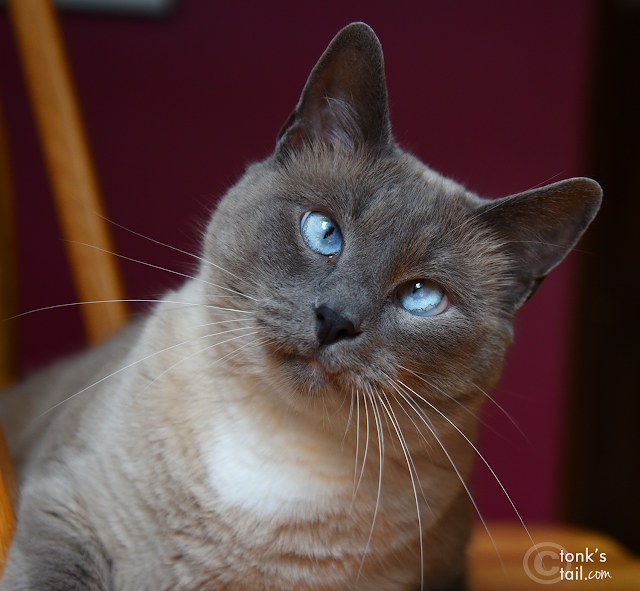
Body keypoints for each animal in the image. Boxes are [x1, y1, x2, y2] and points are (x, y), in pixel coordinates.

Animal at [0, 20, 600, 591]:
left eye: (421, 297)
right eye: (324, 233)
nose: (334, 321)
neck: (283, 444)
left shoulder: (439, 577)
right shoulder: (65, 512)